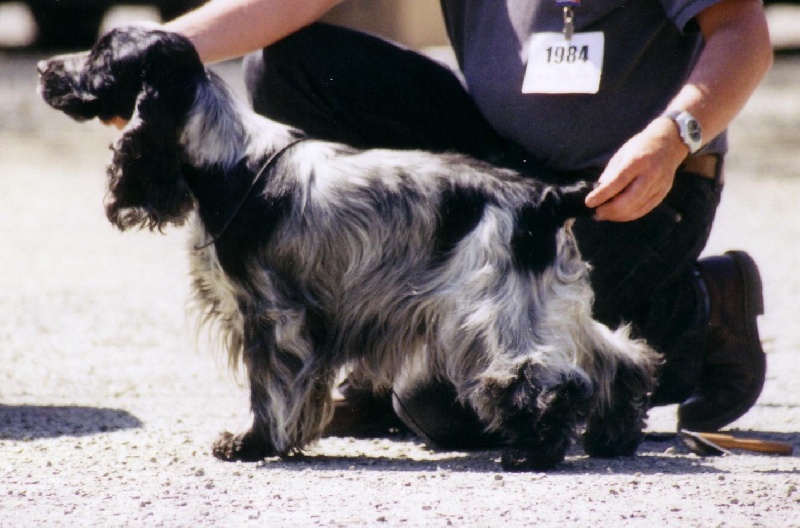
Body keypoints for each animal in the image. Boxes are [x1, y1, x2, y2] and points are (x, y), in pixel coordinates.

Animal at [39, 26, 664, 470]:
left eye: (101, 56)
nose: (45, 67)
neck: (225, 159)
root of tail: (547, 196)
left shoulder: (271, 312)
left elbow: (268, 387)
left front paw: (252, 443)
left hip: (492, 308)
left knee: (542, 378)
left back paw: (531, 454)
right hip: (549, 297)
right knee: (615, 356)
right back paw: (614, 436)